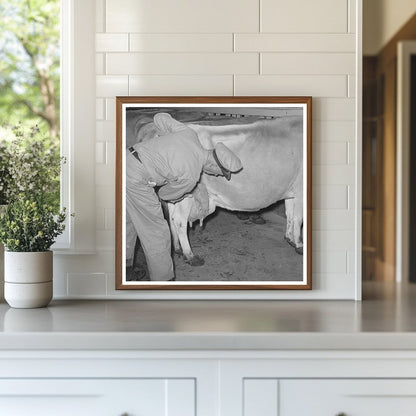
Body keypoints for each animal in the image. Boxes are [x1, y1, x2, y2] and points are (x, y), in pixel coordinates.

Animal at [164, 117, 304, 266]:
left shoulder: (292, 190)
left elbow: (290, 214)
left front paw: (289, 238)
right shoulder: (301, 189)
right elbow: (298, 218)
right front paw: (299, 245)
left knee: (172, 218)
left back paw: (178, 249)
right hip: (187, 194)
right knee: (179, 220)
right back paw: (190, 256)